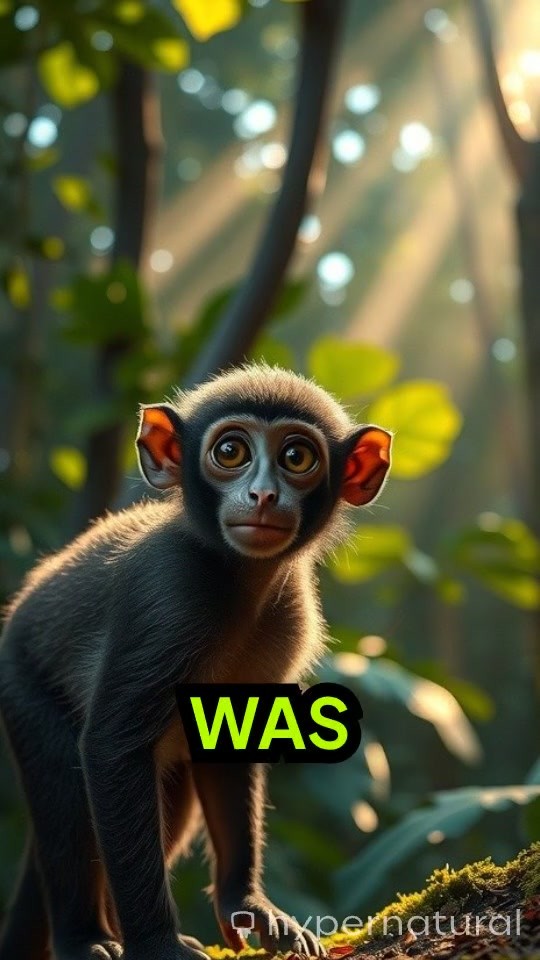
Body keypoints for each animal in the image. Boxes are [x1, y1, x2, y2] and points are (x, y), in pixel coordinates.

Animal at [0, 364, 392, 960]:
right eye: (230, 451)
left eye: (297, 457)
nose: (262, 494)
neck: (238, 583)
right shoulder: (170, 592)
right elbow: (110, 747)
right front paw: (156, 943)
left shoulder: (292, 616)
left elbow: (231, 743)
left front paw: (247, 906)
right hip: (21, 683)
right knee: (66, 788)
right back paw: (84, 937)